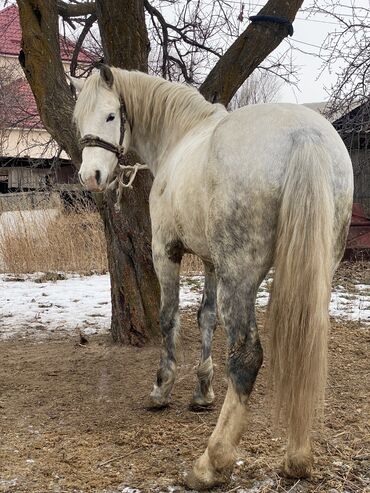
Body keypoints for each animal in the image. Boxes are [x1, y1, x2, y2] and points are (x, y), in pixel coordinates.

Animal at [70, 65, 352, 488]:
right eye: (77, 120)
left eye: (110, 115)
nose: (91, 176)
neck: (181, 135)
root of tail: (304, 135)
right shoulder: (210, 261)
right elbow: (206, 317)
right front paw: (202, 391)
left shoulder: (166, 250)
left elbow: (169, 318)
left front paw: (162, 389)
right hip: (317, 270)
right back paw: (297, 459)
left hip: (242, 274)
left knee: (247, 356)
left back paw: (211, 463)